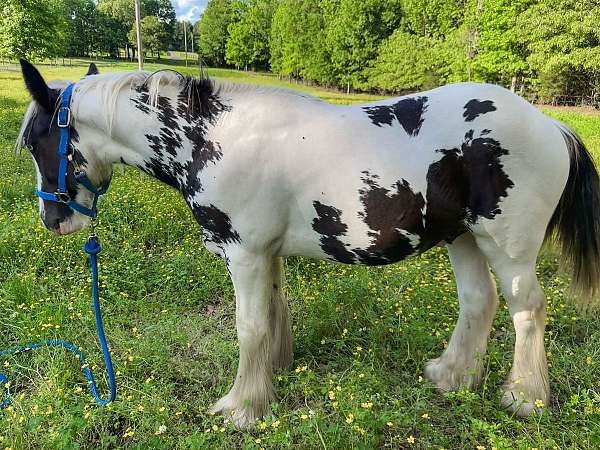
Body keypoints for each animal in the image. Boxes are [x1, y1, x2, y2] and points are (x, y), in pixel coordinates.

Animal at [16, 59, 600, 428]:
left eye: (37, 141)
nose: (54, 219)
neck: (211, 139)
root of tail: (551, 126)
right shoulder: (264, 254)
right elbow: (275, 314)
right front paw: (271, 378)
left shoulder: (245, 254)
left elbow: (249, 325)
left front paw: (241, 408)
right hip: (463, 238)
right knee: (480, 303)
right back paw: (450, 376)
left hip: (507, 247)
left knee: (527, 310)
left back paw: (524, 398)